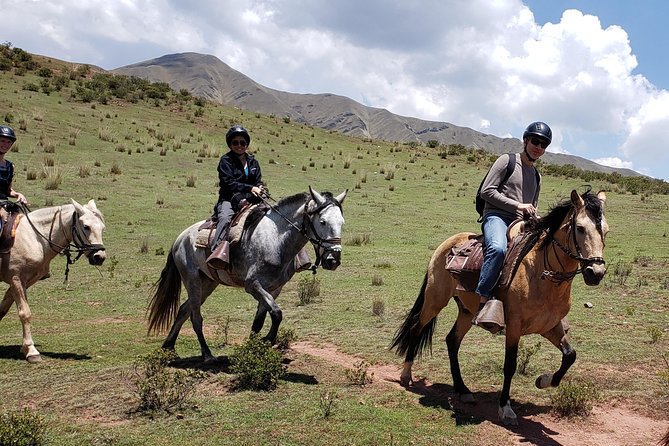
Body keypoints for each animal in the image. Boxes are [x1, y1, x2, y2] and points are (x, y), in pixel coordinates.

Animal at [0, 199, 107, 363]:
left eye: (102, 227)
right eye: (86, 227)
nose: (99, 257)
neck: (34, 238)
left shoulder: (25, 281)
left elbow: (2, 308)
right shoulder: (16, 278)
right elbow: (25, 313)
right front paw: (31, 351)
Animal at [147, 187, 347, 362]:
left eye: (342, 223)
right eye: (322, 221)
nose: (333, 260)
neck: (276, 240)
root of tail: (180, 238)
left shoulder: (274, 289)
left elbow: (259, 321)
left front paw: (253, 349)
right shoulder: (253, 285)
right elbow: (277, 313)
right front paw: (267, 340)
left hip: (208, 283)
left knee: (183, 310)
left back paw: (168, 346)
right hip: (193, 281)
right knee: (196, 317)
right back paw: (207, 355)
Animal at [391, 189, 608, 425]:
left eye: (605, 231)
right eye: (580, 228)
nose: (596, 273)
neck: (541, 273)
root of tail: (447, 243)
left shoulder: (549, 326)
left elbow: (570, 355)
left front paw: (543, 380)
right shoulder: (514, 326)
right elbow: (510, 365)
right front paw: (506, 408)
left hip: (466, 311)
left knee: (452, 340)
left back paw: (463, 389)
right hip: (434, 300)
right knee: (416, 328)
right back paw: (406, 375)